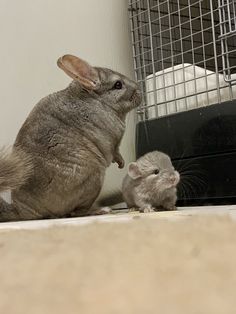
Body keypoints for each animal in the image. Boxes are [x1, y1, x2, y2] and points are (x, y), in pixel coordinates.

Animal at [0, 54, 141, 221]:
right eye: (118, 84)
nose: (139, 87)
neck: (98, 99)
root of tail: (22, 211)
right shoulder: (114, 141)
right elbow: (116, 152)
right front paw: (121, 164)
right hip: (94, 177)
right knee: (77, 212)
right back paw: (101, 210)